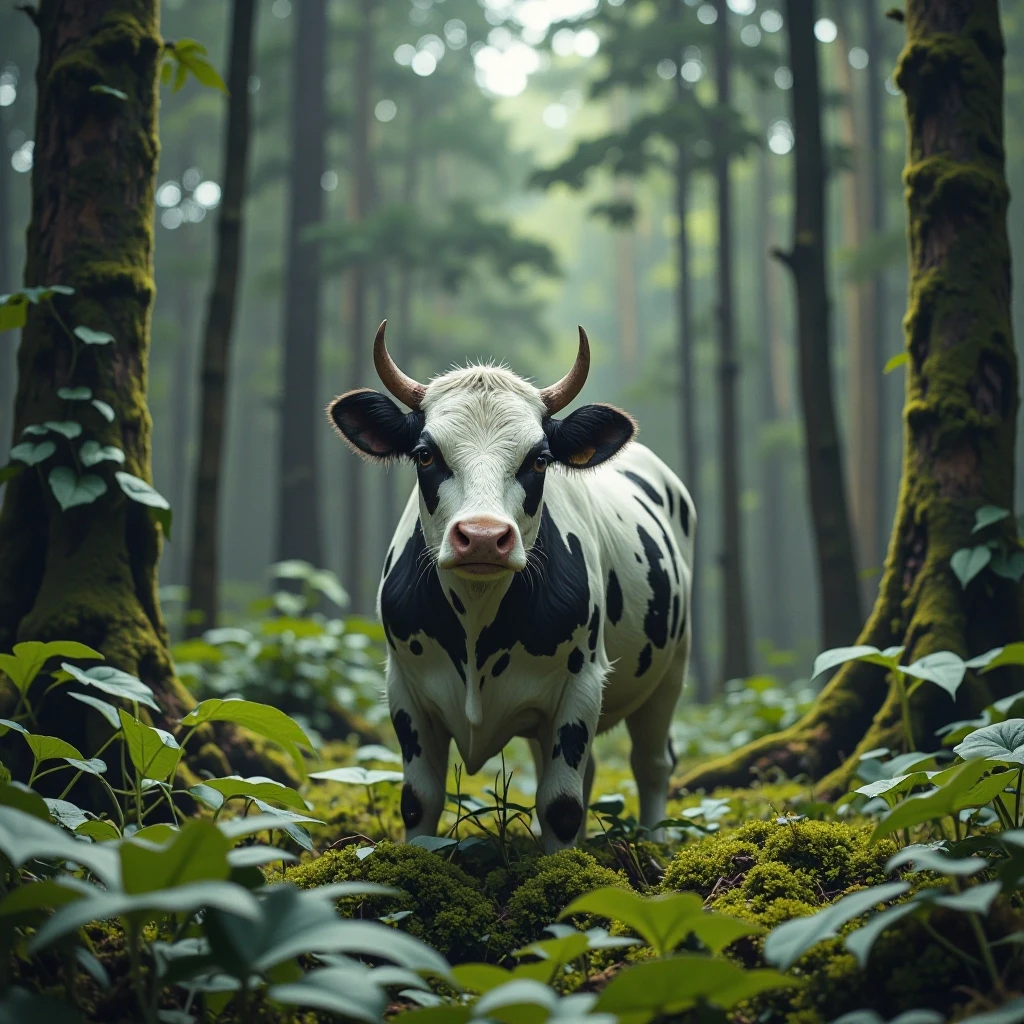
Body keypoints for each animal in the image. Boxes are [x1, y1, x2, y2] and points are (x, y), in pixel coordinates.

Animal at [327, 322, 695, 852]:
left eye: (539, 459)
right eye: (425, 454)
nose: (483, 536)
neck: (477, 619)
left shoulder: (583, 684)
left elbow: (560, 806)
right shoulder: (404, 689)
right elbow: (419, 799)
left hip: (671, 669)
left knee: (652, 763)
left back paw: (657, 841)